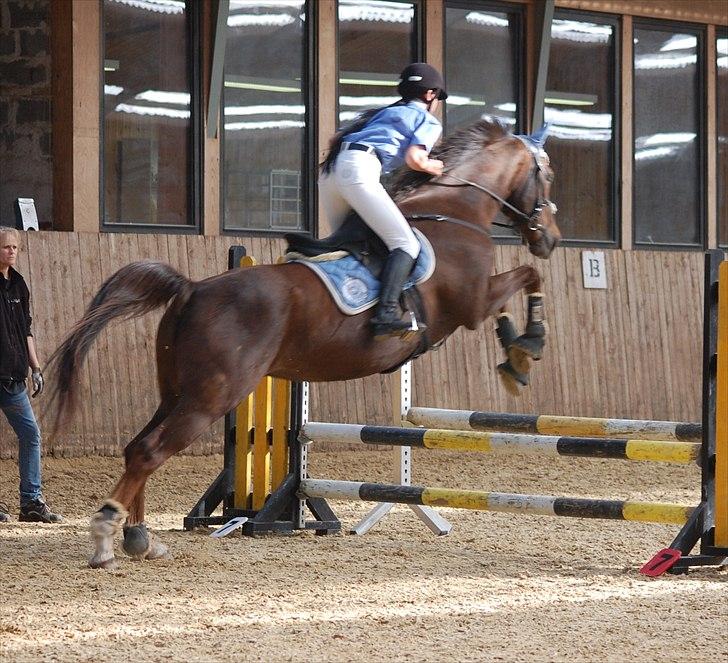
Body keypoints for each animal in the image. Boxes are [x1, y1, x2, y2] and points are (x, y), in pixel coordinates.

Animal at [49, 116, 564, 568]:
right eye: (548, 175)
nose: (551, 239)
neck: (457, 213)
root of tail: (193, 288)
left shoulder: (476, 302)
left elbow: (518, 288)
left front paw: (515, 354)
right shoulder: (472, 303)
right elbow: (526, 277)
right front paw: (528, 345)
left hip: (177, 390)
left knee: (138, 446)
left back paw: (139, 537)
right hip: (212, 396)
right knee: (149, 451)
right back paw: (106, 539)